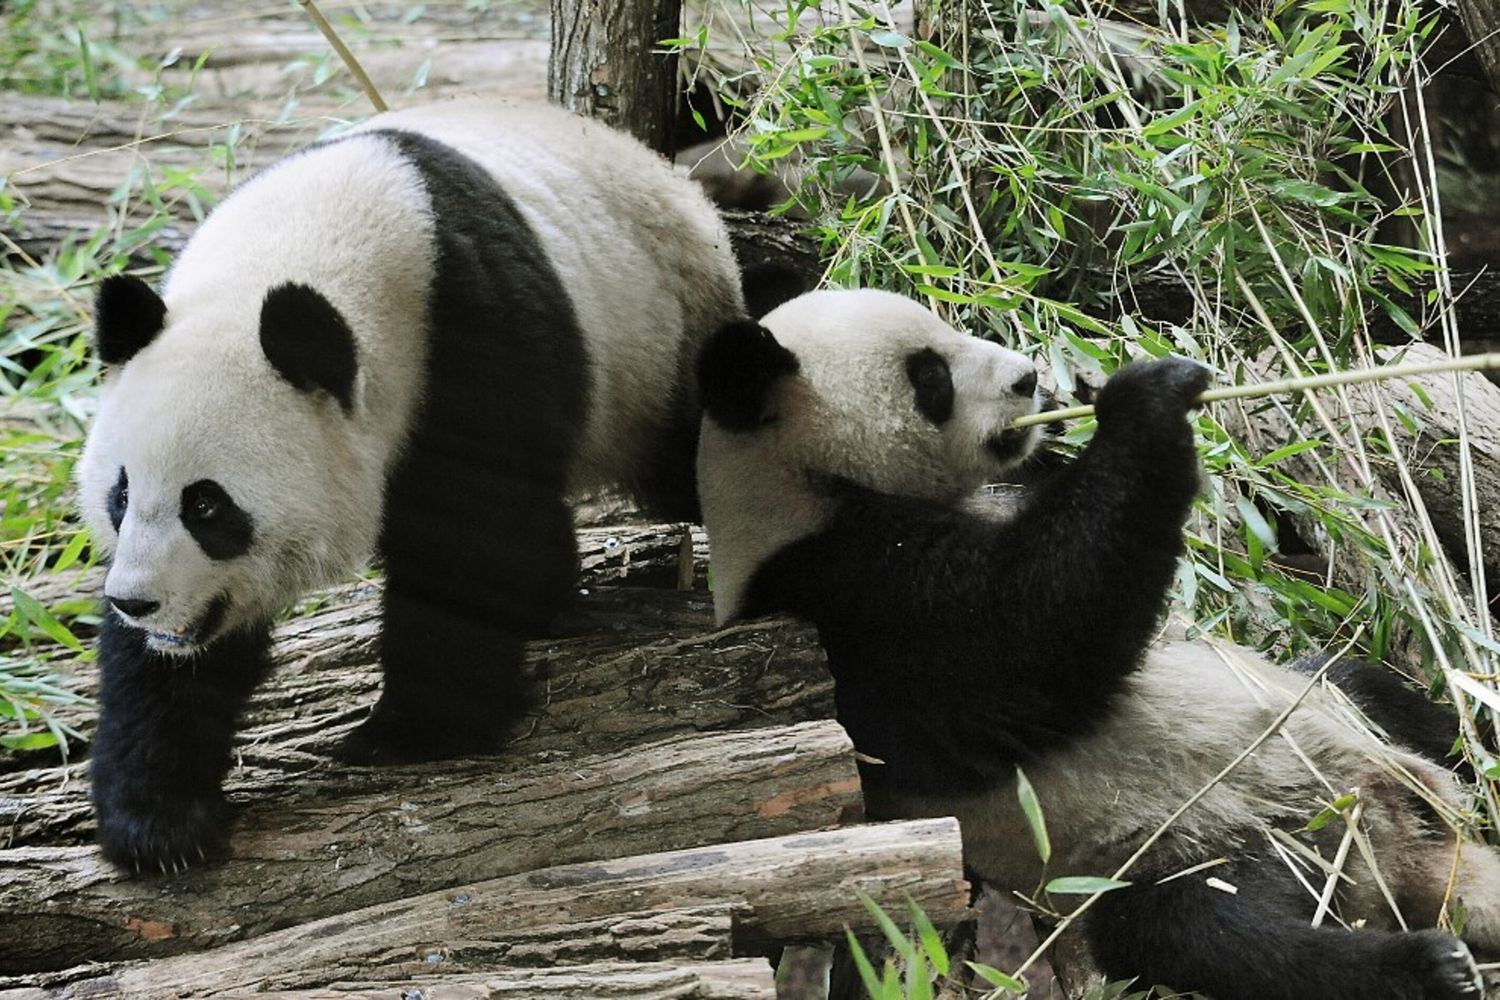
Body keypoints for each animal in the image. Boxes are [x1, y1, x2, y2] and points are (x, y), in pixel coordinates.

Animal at [77, 98, 745, 872]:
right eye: (122, 496)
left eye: (208, 505)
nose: (137, 601)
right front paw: (161, 821)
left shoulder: (469, 330)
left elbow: (472, 537)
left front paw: (412, 733)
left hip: (662, 341)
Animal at [694, 288, 1499, 1000]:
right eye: (929, 376)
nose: (1028, 379)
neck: (798, 486)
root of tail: (1402, 853)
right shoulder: (844, 603)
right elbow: (1032, 635)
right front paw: (1146, 397)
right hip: (1203, 843)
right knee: (1205, 932)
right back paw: (1425, 967)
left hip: (1334, 720)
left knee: (1373, 689)